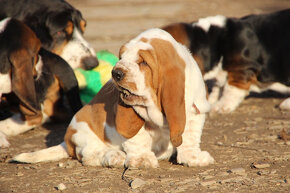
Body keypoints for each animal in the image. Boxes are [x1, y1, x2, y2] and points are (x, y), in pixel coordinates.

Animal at [12, 27, 214, 168]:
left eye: (143, 62)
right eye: (121, 56)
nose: (116, 73)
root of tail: (66, 142)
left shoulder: (195, 113)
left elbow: (189, 136)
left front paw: (193, 156)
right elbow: (138, 137)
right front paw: (142, 159)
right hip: (83, 131)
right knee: (88, 155)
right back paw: (113, 156)